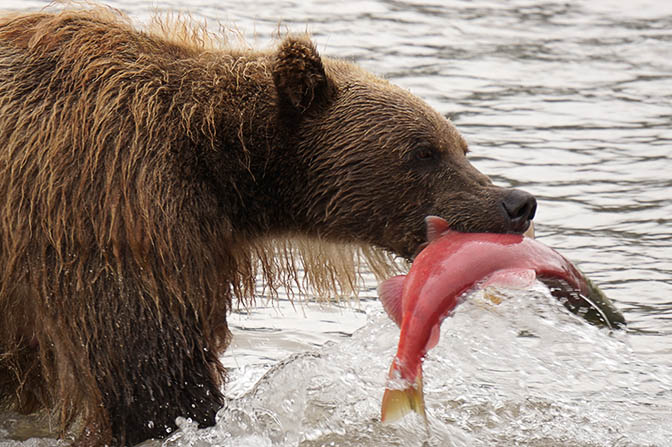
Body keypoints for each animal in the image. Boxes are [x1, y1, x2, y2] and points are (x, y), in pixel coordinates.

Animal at [0, 4, 536, 447]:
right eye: (423, 151)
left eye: (461, 146)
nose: (517, 203)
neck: (220, 162)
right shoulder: (111, 201)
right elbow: (149, 365)